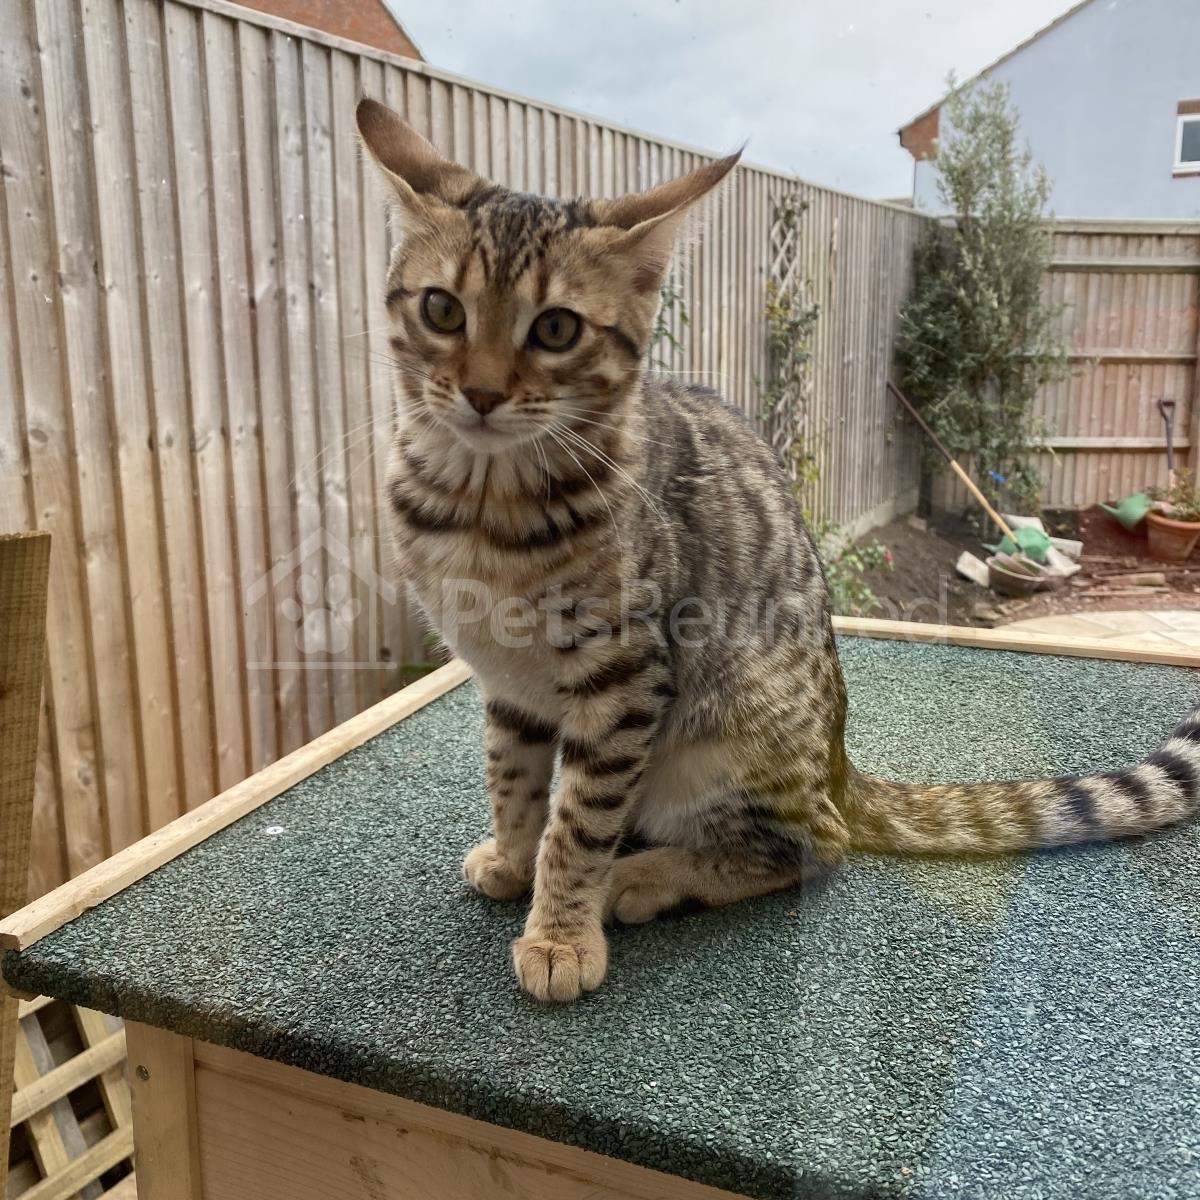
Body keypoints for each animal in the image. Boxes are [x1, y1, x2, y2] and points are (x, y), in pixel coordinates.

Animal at [356, 98, 1199, 1003]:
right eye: (442, 310)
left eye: (555, 328)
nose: (481, 393)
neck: (481, 503)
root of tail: (839, 768)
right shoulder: (508, 684)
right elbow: (513, 781)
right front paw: (514, 860)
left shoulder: (624, 676)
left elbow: (577, 821)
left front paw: (560, 935)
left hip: (723, 736)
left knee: (812, 848)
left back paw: (643, 876)